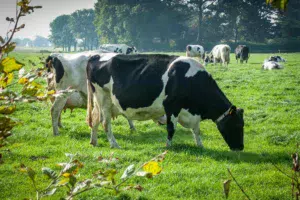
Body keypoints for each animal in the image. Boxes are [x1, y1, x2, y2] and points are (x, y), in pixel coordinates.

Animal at [86, 53, 244, 150]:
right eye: (237, 125)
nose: (240, 148)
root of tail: (96, 55)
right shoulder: (172, 106)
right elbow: (171, 128)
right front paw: (168, 146)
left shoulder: (191, 113)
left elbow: (196, 130)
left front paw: (200, 146)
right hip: (103, 97)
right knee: (105, 122)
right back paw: (114, 144)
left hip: (99, 101)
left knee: (95, 119)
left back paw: (94, 142)